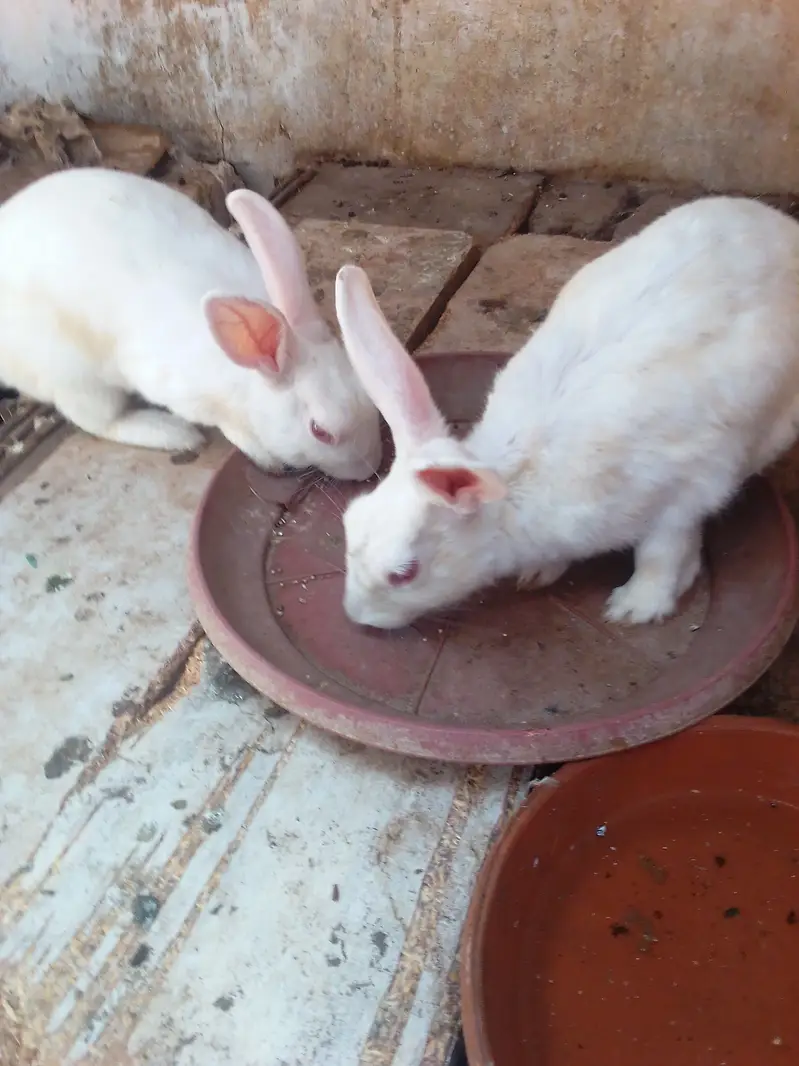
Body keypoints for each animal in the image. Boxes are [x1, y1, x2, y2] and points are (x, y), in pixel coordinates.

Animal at [0, 167, 381, 480]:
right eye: (320, 431)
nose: (369, 468)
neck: (246, 377)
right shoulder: (186, 393)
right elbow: (230, 427)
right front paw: (266, 458)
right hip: (76, 378)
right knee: (99, 422)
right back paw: (172, 433)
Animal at [333, 195, 799, 629]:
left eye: (404, 574)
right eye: (349, 522)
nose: (356, 615)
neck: (512, 492)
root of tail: (780, 226)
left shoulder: (685, 494)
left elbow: (661, 555)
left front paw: (634, 609)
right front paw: (538, 572)